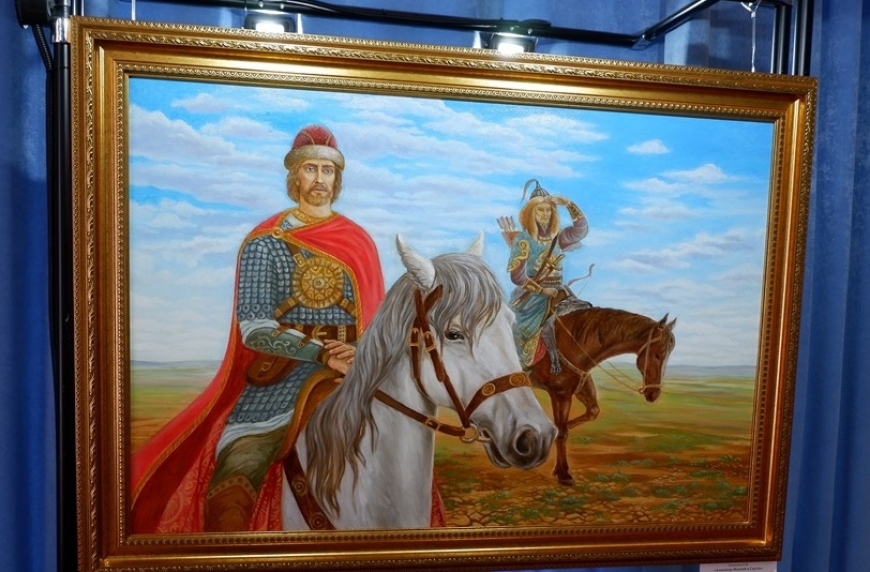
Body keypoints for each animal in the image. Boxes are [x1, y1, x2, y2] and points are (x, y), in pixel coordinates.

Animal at [529, 301, 676, 486]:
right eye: (657, 355)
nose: (654, 393)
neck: (574, 343)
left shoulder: (580, 388)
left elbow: (591, 412)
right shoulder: (560, 394)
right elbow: (562, 433)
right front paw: (563, 474)